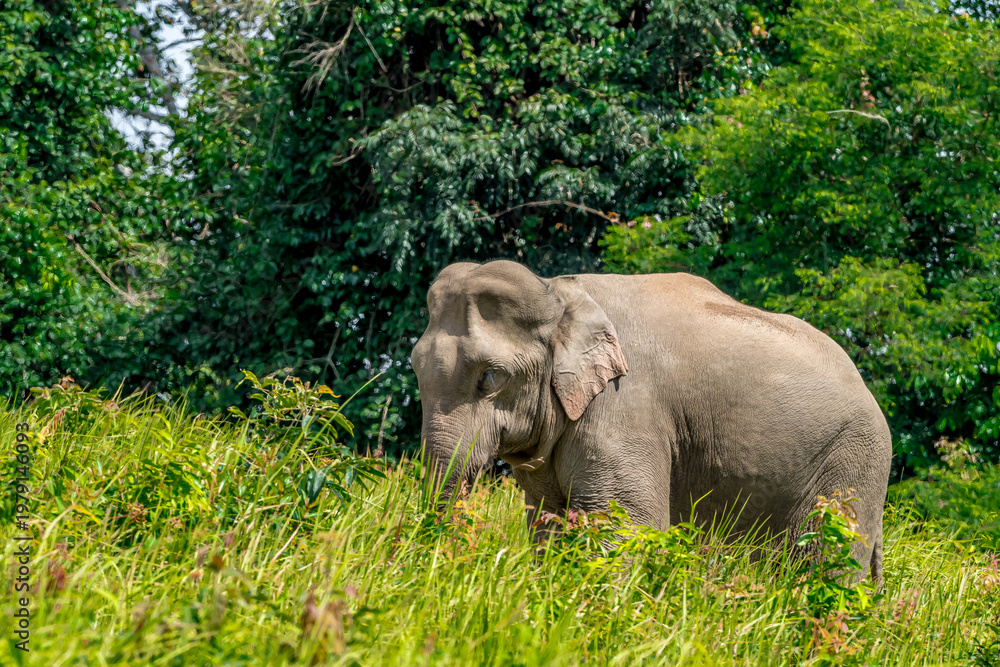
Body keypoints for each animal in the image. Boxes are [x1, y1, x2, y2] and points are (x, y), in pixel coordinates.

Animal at [410, 260, 892, 583]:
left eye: (489, 378)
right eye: (414, 368)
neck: (558, 292)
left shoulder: (625, 408)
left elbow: (626, 522)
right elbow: (550, 524)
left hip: (854, 462)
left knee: (826, 562)